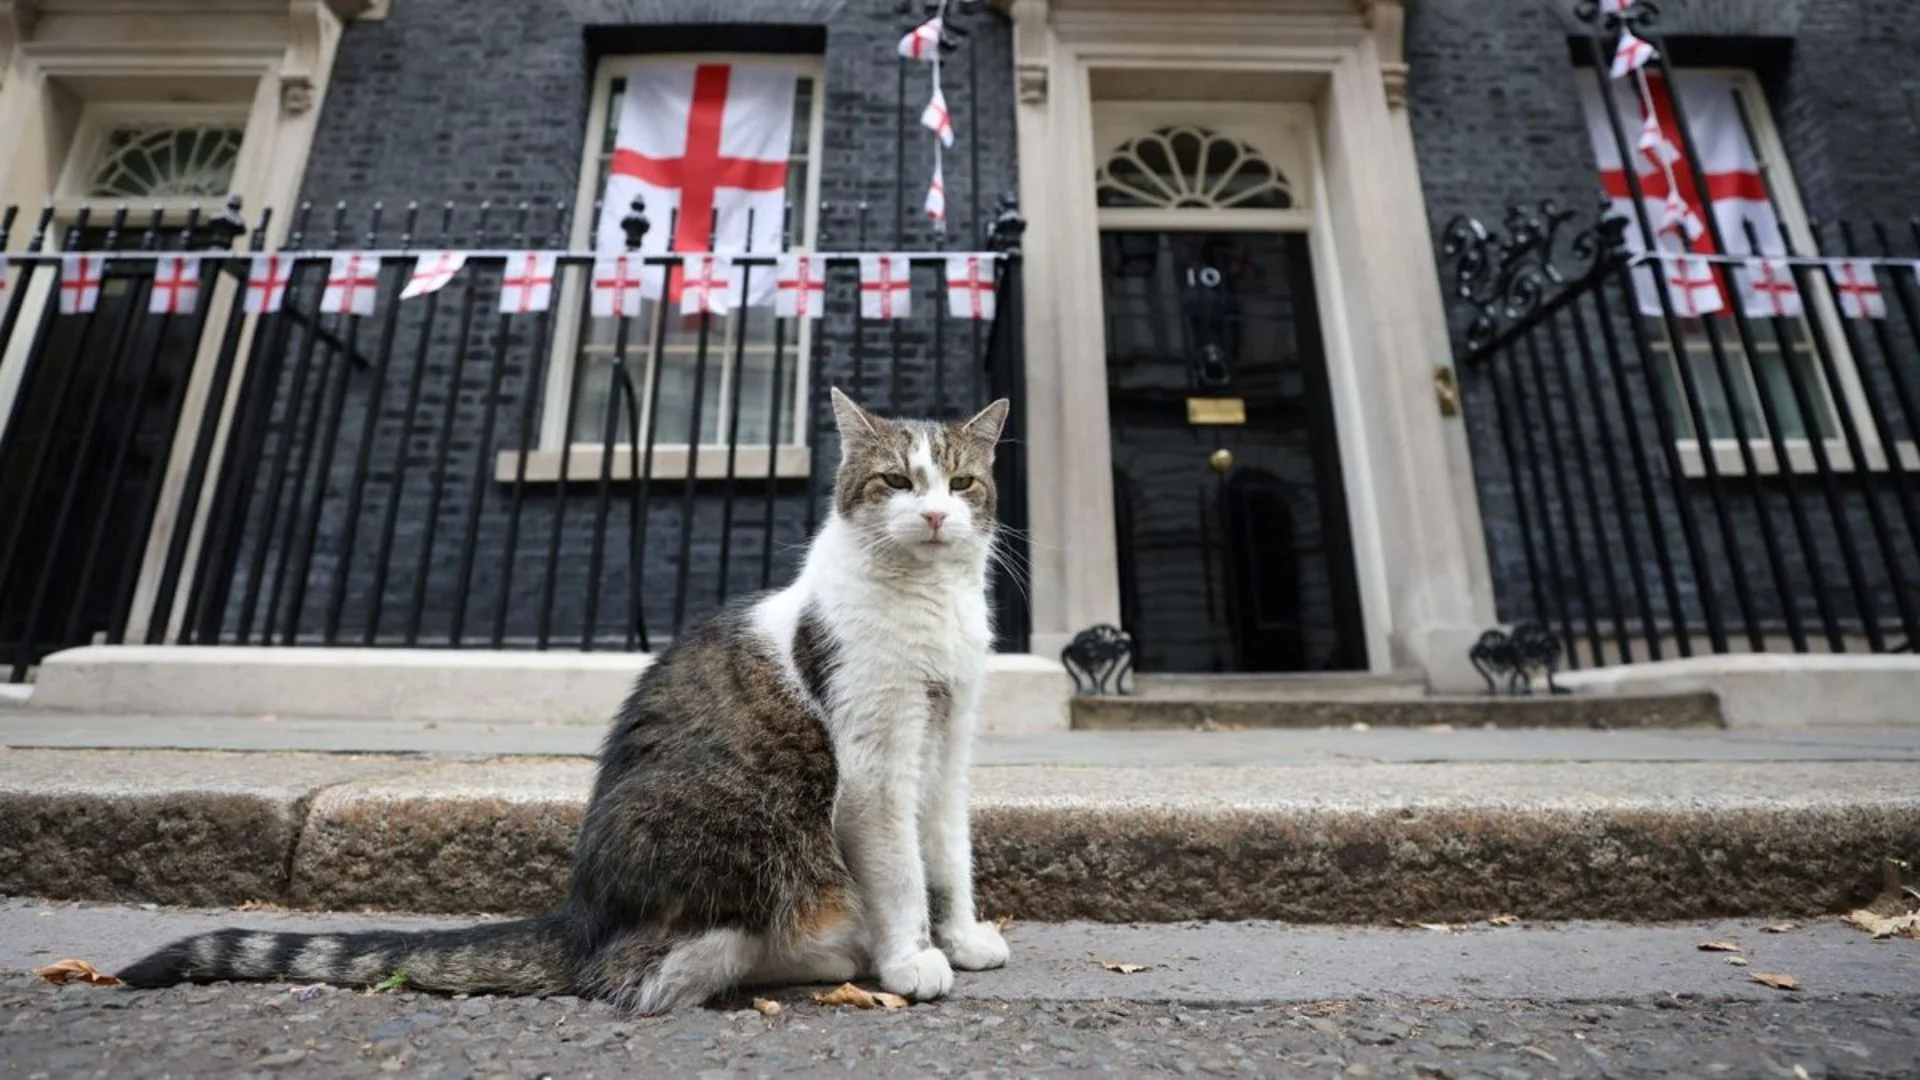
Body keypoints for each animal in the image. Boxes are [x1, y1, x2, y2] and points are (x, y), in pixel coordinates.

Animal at [116, 386, 1021, 1006]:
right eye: (897, 480)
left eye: (962, 483)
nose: (934, 516)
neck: (930, 603)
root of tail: (580, 911)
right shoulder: (874, 760)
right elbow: (900, 869)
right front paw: (911, 960)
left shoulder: (948, 742)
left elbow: (948, 852)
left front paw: (963, 937)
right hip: (743, 820)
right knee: (637, 970)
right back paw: (823, 956)